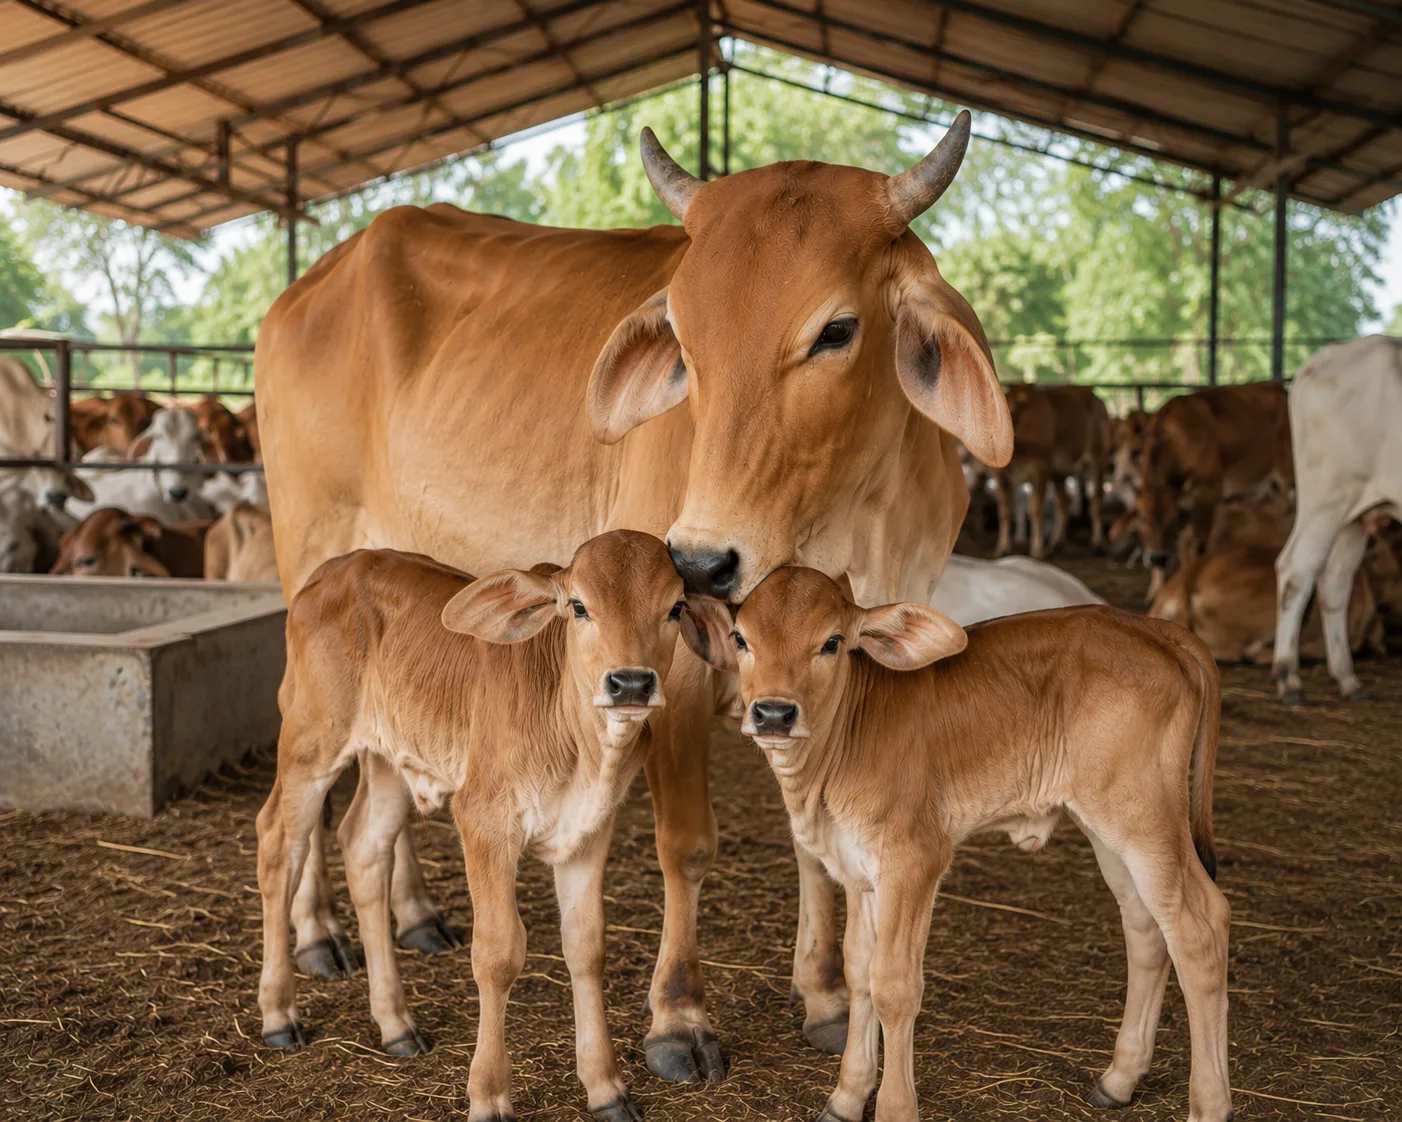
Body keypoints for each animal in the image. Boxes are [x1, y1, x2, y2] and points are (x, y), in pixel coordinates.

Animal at [258, 531, 687, 1121]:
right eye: (579, 606)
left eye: (677, 607)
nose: (630, 683)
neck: (581, 743)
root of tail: (340, 566)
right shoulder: (484, 820)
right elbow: (498, 952)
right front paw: (488, 1095)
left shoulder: (591, 830)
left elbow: (587, 946)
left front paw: (606, 1088)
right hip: (310, 739)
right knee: (279, 846)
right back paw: (279, 1014)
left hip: (388, 758)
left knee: (363, 846)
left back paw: (396, 1024)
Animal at [682, 569, 1232, 1122]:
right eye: (741, 639)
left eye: (832, 642)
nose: (774, 713)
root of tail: (1150, 628)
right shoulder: (857, 869)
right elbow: (859, 970)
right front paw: (846, 1095)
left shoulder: (915, 859)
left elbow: (894, 985)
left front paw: (894, 1107)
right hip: (1107, 828)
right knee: (1146, 928)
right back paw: (1119, 1078)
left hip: (1145, 817)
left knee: (1199, 927)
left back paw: (1209, 1103)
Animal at [993, 384, 1110, 558]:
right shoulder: (1001, 477)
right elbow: (1004, 511)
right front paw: (1003, 548)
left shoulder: (1040, 468)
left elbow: (1035, 509)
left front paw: (1037, 550)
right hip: (1058, 473)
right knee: (1064, 502)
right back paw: (1056, 543)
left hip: (1097, 461)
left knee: (1096, 502)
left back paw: (1097, 543)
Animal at [1137, 381, 1292, 598]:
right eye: (1142, 517)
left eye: (1174, 518)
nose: (1158, 558)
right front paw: (1156, 590)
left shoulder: (1208, 492)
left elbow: (1196, 543)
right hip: (1270, 489)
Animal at [1274, 336, 1402, 703]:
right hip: (1328, 497)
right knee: (1297, 569)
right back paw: (1289, 678)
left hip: (1354, 514)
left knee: (1335, 579)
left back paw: (1347, 678)